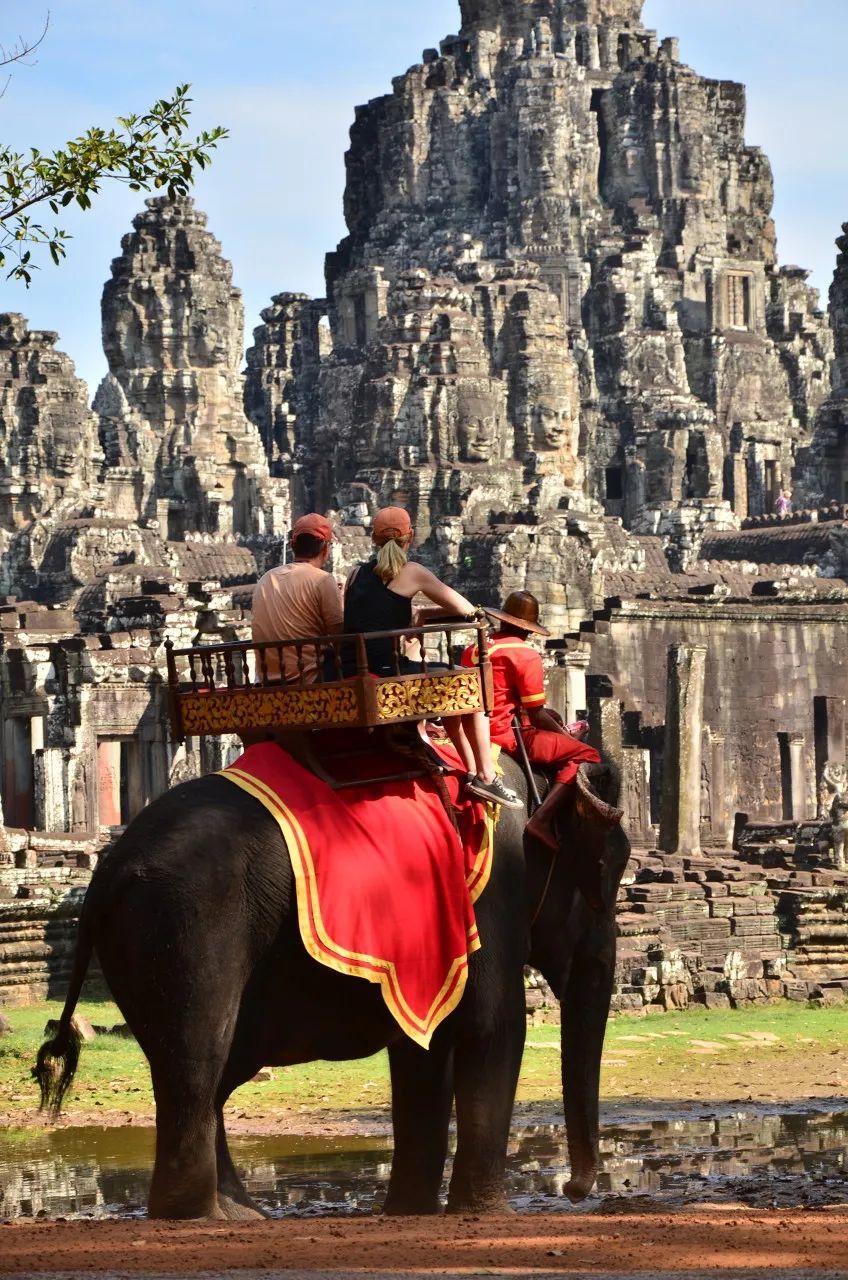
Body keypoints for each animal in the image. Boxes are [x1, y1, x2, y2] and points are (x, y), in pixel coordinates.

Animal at [34, 752, 630, 1223]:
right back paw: (201, 1216)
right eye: (606, 874)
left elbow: (425, 1050)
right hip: (186, 926)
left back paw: (241, 1214)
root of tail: (107, 872)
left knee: (209, 1074)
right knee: (198, 1061)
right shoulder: (489, 890)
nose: (576, 1191)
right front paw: (485, 1215)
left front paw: (409, 1213)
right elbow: (493, 1025)